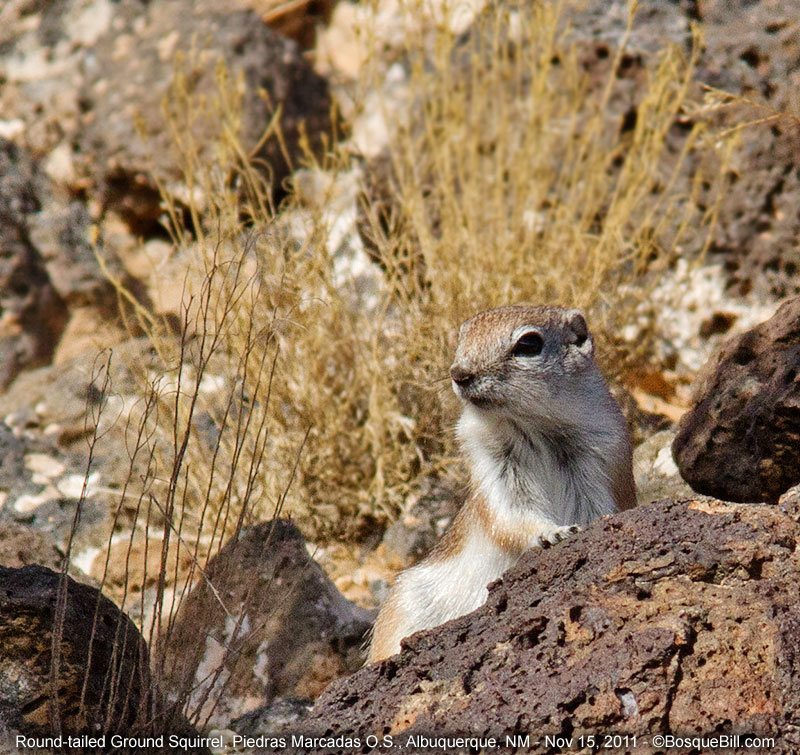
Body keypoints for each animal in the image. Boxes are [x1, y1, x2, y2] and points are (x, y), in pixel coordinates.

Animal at [368, 305, 636, 662]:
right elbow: (509, 518)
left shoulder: (597, 460)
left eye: (528, 344)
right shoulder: (493, 472)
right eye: (463, 334)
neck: (534, 425)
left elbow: (596, 511)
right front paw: (551, 533)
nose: (459, 373)